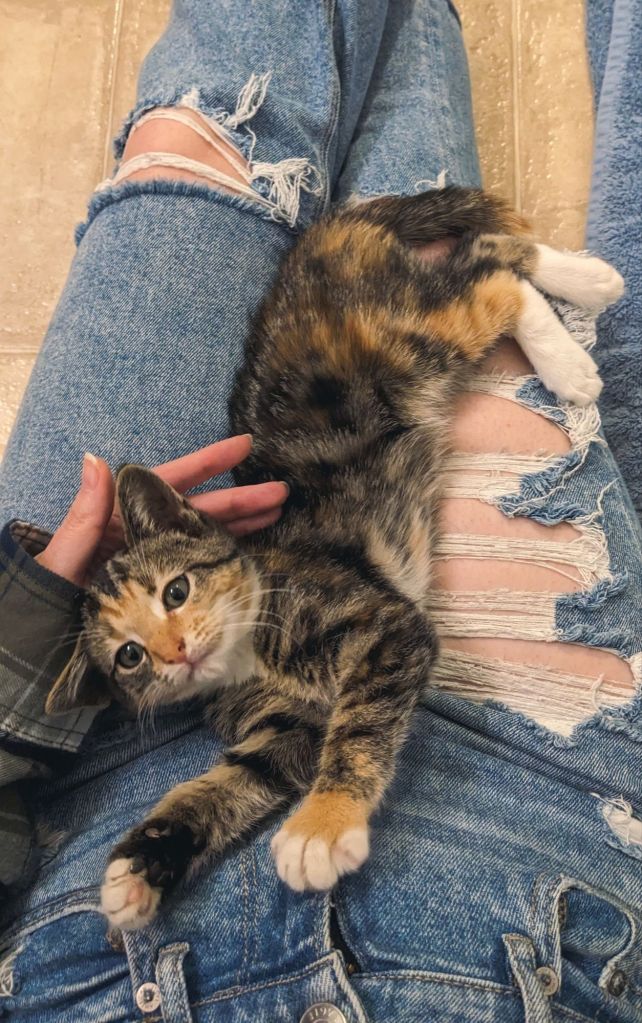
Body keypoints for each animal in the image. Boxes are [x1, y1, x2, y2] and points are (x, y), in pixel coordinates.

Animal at [46, 187, 623, 930]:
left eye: (176, 591)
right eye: (128, 656)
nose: (176, 653)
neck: (247, 656)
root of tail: (325, 234)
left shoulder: (384, 625)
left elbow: (360, 724)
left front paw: (321, 827)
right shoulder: (282, 731)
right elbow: (235, 781)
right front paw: (142, 863)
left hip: (406, 344)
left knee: (491, 277)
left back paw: (574, 342)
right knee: (487, 257)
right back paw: (581, 288)